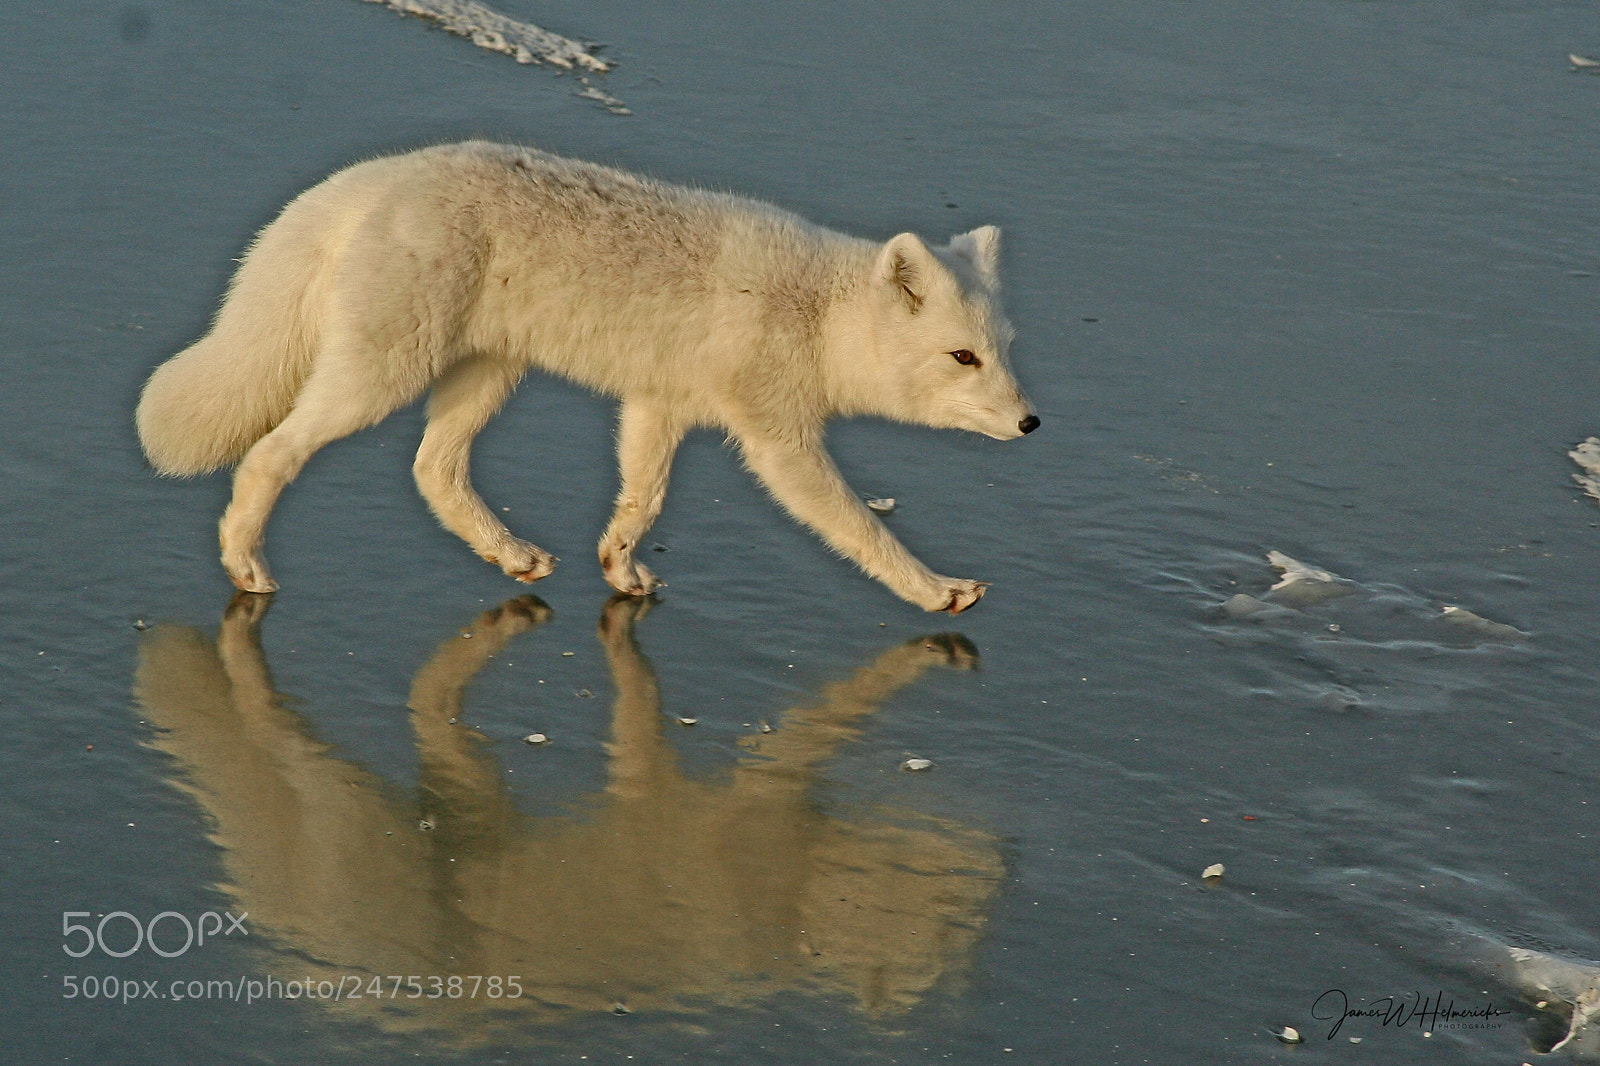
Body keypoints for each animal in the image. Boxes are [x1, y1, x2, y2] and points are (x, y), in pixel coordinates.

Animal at [135, 141, 1038, 613]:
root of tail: (384, 171)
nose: (1033, 423)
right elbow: (860, 528)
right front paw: (935, 589)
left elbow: (642, 498)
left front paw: (621, 568)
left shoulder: (659, 404)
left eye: (1007, 350)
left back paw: (513, 557)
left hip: (487, 373)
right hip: (382, 375)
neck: (818, 316)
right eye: (964, 358)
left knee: (432, 469)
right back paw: (246, 565)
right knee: (272, 454)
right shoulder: (776, 439)